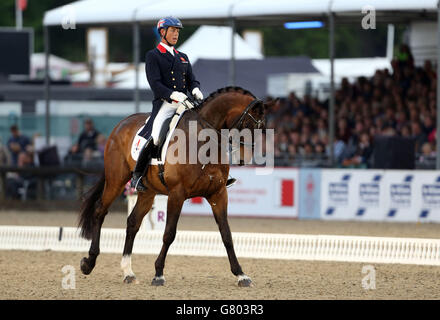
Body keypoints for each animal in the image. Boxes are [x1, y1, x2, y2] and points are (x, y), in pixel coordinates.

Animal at [78, 85, 268, 288]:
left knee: (133, 222)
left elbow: (227, 235)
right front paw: (158, 274)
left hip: (148, 192)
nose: (245, 159)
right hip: (116, 180)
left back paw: (128, 272)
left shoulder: (218, 194)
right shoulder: (177, 194)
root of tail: (121, 124)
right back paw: (89, 263)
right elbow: (169, 233)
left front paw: (241, 274)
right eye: (248, 124)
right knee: (100, 210)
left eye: (262, 129)